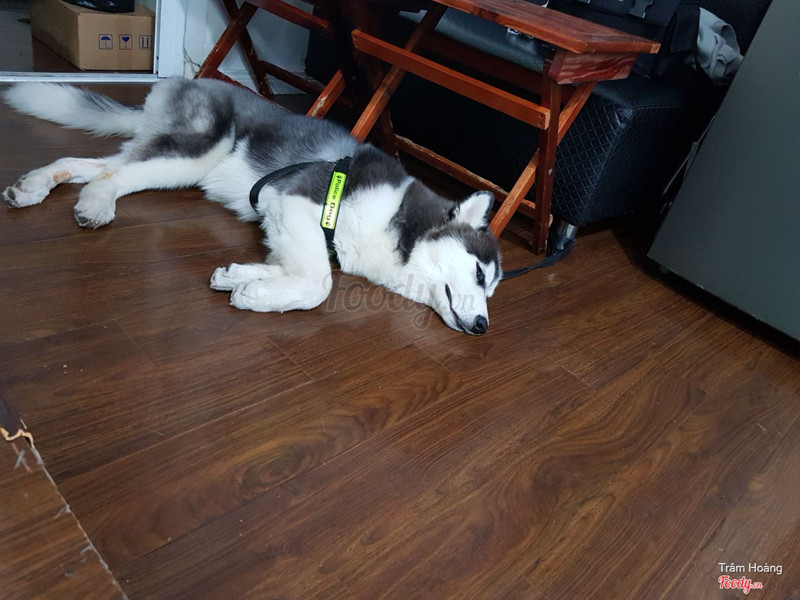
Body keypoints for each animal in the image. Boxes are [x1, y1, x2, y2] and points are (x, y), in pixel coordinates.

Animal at [2, 78, 501, 334]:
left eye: (492, 291)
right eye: (479, 273)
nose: (482, 325)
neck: (398, 225)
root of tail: (180, 82)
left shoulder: (287, 221)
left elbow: (294, 269)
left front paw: (244, 277)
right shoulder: (298, 199)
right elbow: (319, 282)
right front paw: (259, 295)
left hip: (175, 160)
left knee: (89, 165)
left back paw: (35, 187)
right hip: (197, 151)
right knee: (112, 176)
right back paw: (97, 203)